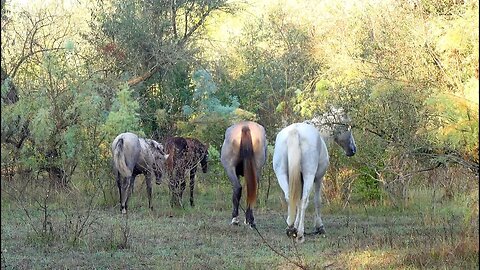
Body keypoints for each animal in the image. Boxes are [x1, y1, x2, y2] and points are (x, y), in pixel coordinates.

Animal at [272, 108, 354, 244]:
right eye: (348, 127)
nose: (352, 150)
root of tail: (295, 131)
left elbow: (297, 202)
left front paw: (295, 226)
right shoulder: (318, 179)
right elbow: (316, 200)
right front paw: (319, 227)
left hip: (282, 175)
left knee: (289, 198)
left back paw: (291, 229)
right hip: (309, 176)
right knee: (305, 200)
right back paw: (300, 234)